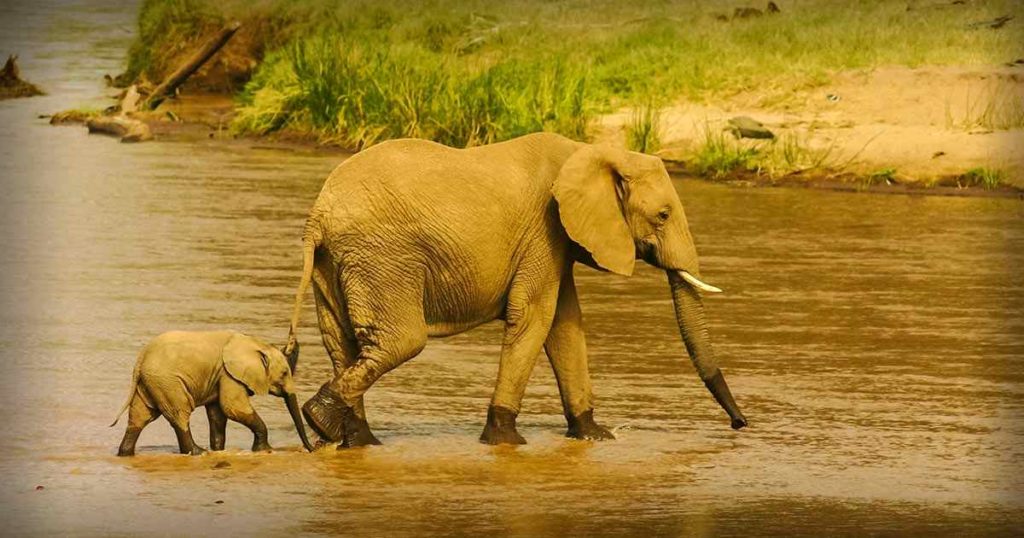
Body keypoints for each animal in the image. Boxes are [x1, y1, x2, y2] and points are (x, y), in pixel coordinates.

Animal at [111, 330, 314, 456]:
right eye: (285, 373)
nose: (311, 449)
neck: (256, 344)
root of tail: (141, 358)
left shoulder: (220, 375)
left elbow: (218, 414)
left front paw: (219, 450)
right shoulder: (228, 373)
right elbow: (233, 407)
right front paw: (265, 450)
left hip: (151, 383)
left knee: (140, 417)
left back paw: (125, 453)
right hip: (167, 382)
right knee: (179, 413)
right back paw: (199, 452)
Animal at [282, 132, 747, 447]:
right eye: (663, 215)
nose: (739, 424)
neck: (590, 150)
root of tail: (318, 215)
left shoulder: (556, 239)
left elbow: (565, 325)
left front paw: (595, 436)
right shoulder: (544, 229)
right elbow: (535, 318)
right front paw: (506, 441)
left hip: (335, 260)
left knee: (342, 342)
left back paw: (356, 440)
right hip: (381, 256)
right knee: (400, 341)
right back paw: (321, 420)